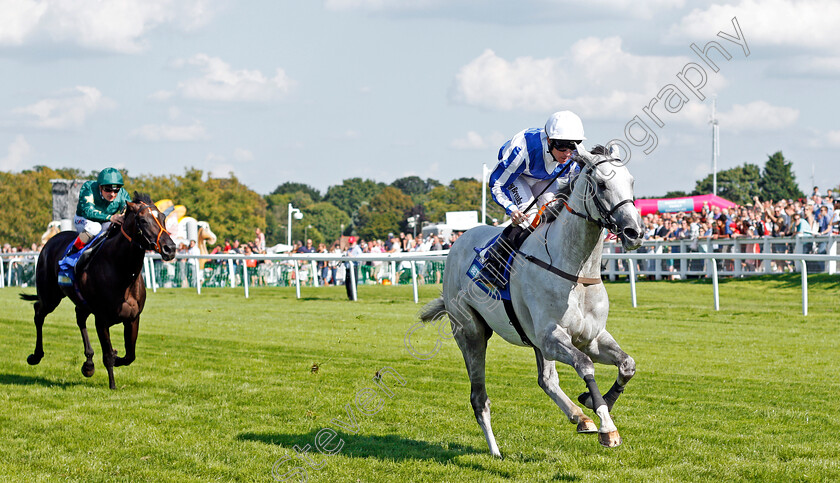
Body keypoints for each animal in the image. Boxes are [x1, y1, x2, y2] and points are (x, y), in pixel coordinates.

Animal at [21, 193, 176, 390]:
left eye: (163, 218)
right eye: (143, 220)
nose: (170, 248)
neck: (122, 272)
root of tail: (51, 240)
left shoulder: (133, 318)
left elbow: (130, 355)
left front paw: (116, 357)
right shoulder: (101, 319)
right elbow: (108, 355)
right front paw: (113, 385)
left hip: (80, 302)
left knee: (79, 318)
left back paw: (88, 364)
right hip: (50, 296)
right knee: (38, 312)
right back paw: (35, 356)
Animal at [420, 146, 644, 456]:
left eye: (632, 181)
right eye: (601, 184)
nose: (634, 232)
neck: (576, 270)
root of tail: (458, 243)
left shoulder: (591, 337)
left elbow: (627, 364)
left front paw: (594, 404)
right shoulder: (551, 336)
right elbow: (585, 365)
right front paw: (607, 427)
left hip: (534, 341)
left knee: (546, 380)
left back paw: (579, 416)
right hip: (471, 334)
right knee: (479, 398)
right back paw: (495, 452)